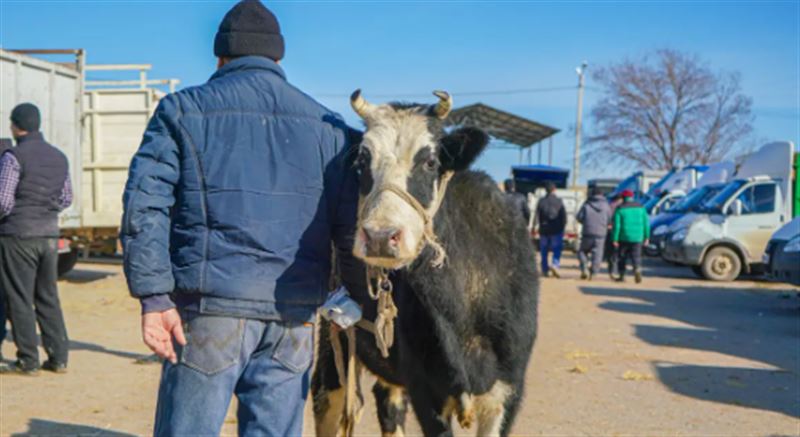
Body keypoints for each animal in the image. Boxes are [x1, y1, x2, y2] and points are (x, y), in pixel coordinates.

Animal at [312, 90, 536, 434]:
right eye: (362, 161)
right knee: (327, 395)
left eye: (430, 161)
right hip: (333, 336)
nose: (380, 236)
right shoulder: (426, 390)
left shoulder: (508, 390)